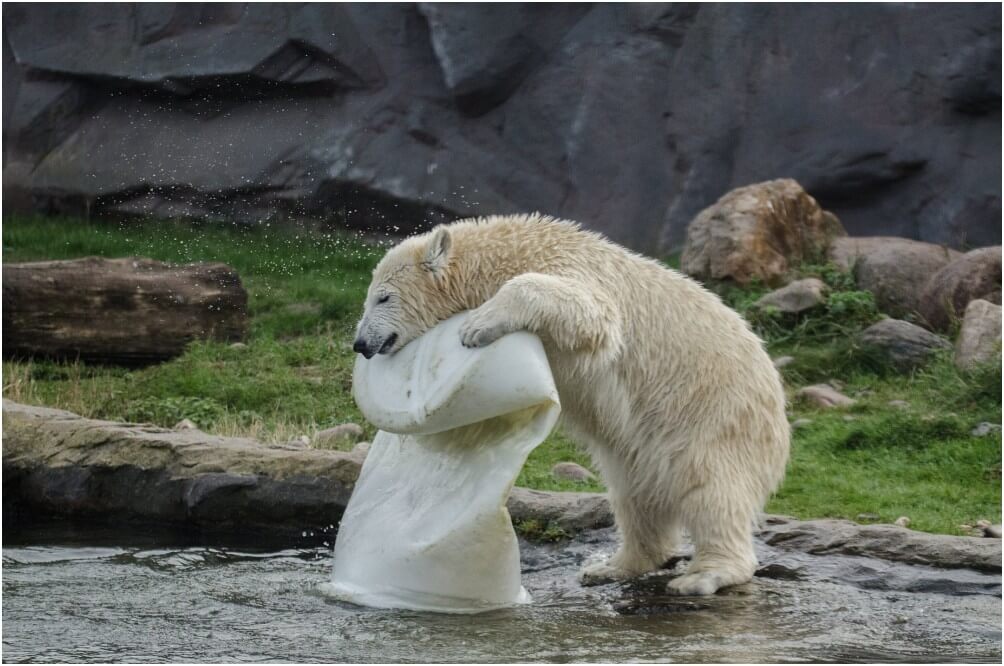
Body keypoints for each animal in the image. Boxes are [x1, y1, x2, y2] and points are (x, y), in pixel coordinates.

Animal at [355, 211, 791, 594]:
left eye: (383, 297)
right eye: (370, 298)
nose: (361, 343)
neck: (507, 253)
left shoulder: (571, 268)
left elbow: (586, 312)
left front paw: (477, 325)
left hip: (713, 418)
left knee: (712, 491)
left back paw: (703, 576)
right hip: (643, 449)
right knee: (635, 497)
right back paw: (612, 567)